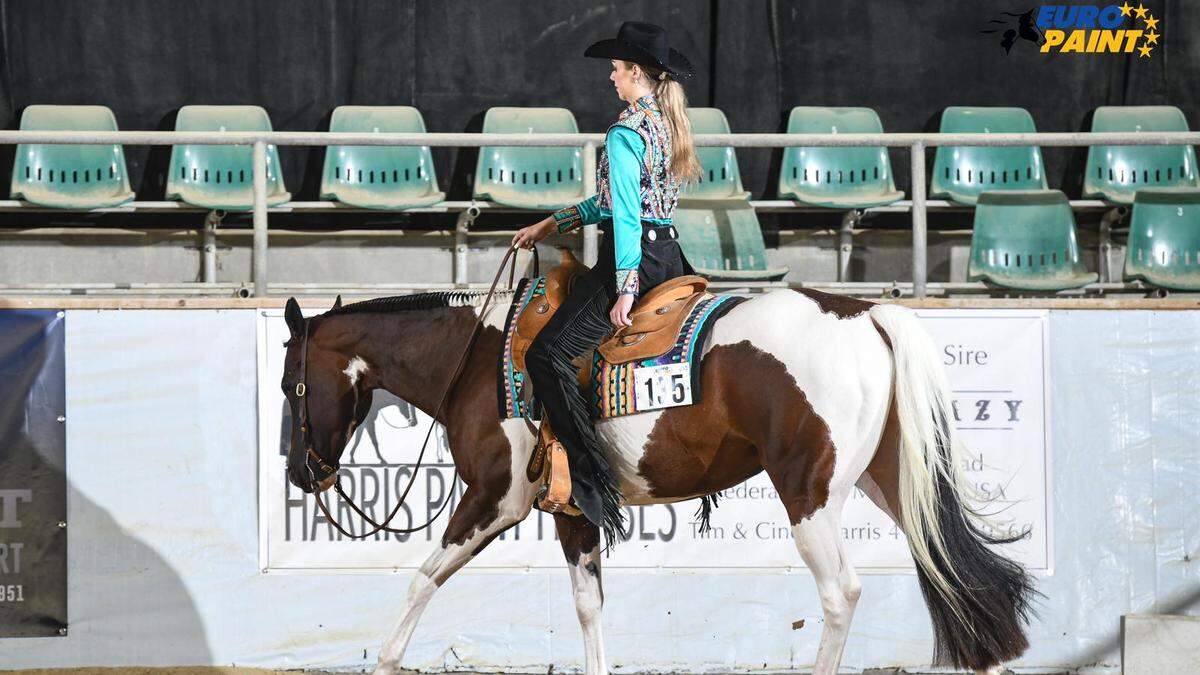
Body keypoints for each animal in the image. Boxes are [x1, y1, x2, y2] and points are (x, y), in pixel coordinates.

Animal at [278, 282, 1032, 672]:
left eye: (290, 385)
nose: (300, 472)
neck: (477, 362)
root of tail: (863, 313)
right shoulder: (573, 511)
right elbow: (588, 605)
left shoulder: (496, 496)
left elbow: (422, 578)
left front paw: (386, 659)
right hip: (893, 480)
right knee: (950, 567)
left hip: (809, 492)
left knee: (841, 593)